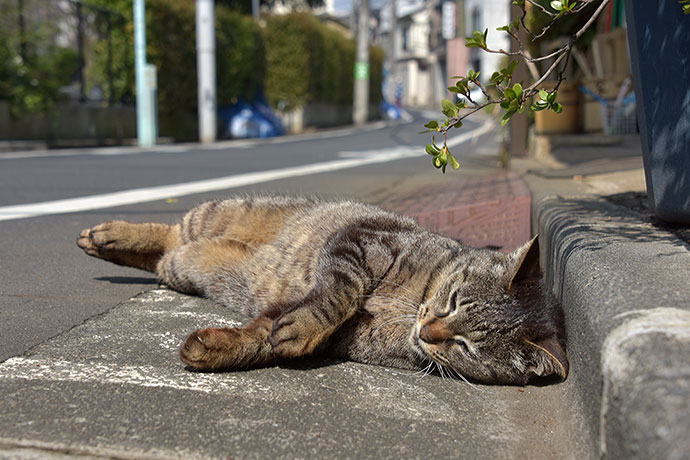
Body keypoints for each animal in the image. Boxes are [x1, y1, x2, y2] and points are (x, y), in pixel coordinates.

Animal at [78, 194, 568, 384]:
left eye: (466, 347)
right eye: (451, 302)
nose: (428, 331)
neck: (413, 302)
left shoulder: (348, 338)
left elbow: (263, 334)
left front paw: (219, 348)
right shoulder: (362, 241)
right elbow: (338, 293)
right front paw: (305, 322)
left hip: (184, 266)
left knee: (164, 254)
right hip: (222, 213)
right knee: (169, 230)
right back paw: (107, 235)